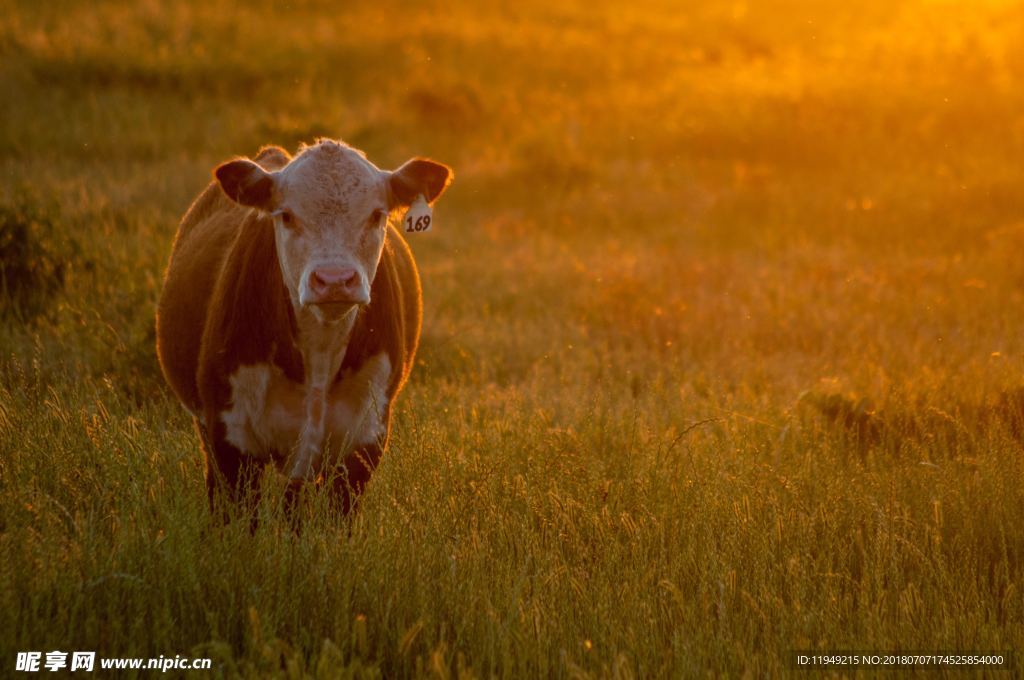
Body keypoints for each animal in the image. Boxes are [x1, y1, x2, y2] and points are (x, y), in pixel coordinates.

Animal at [155, 137, 452, 520]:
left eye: (376, 214)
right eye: (286, 215)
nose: (335, 280)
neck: (319, 350)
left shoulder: (363, 442)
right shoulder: (231, 440)